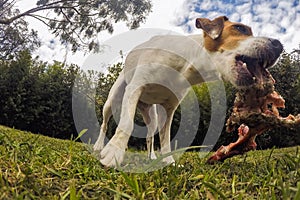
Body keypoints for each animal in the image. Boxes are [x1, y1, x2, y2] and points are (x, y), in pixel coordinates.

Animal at [94, 16, 284, 167]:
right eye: (240, 28)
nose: (279, 45)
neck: (187, 65)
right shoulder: (136, 88)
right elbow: (126, 124)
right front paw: (113, 154)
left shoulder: (169, 109)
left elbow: (165, 138)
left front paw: (168, 162)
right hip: (113, 99)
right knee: (105, 124)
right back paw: (98, 146)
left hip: (152, 116)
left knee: (150, 136)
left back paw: (151, 156)